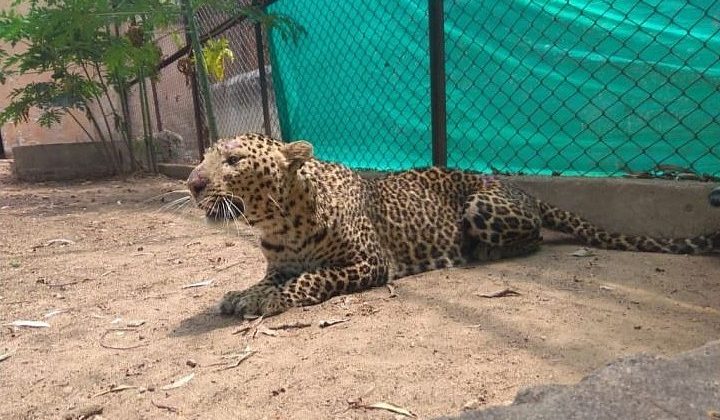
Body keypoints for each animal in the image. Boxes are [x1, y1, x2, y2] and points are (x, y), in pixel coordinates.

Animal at [187, 133, 720, 318]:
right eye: (206, 155)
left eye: (232, 160)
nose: (192, 182)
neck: (277, 219)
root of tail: (526, 191)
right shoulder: (279, 262)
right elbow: (268, 278)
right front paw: (242, 295)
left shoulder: (368, 263)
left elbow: (311, 279)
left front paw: (270, 301)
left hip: (484, 208)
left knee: (531, 239)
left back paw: (481, 252)